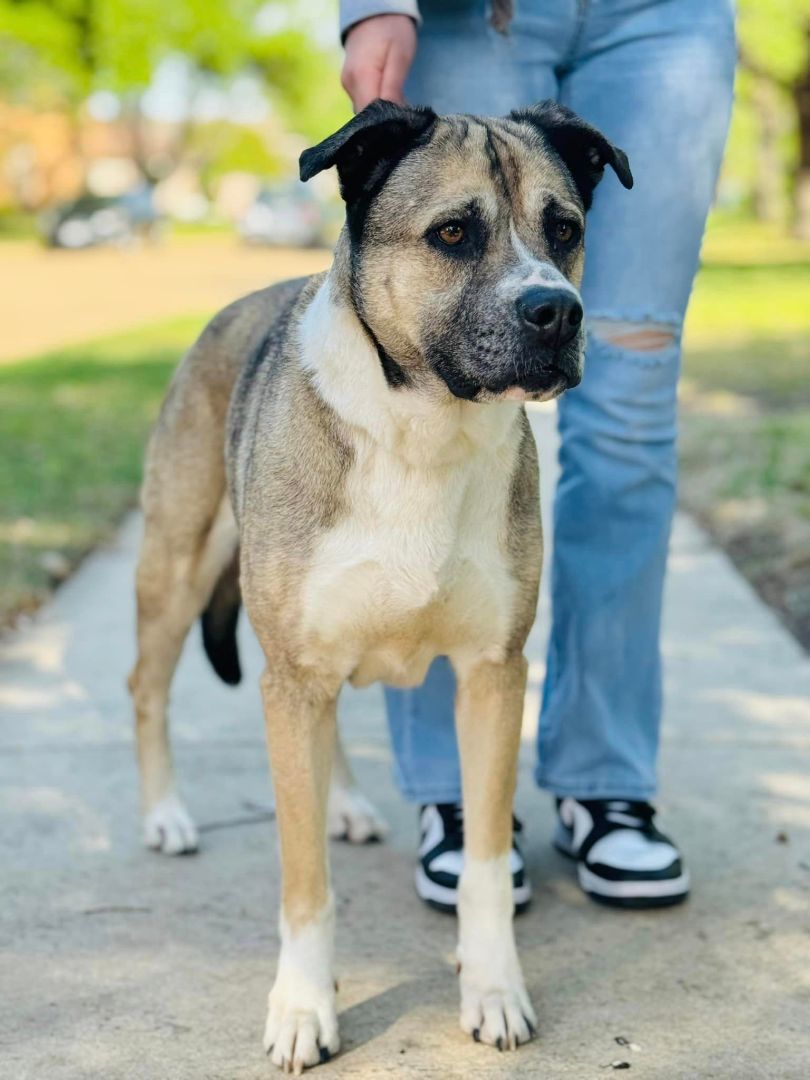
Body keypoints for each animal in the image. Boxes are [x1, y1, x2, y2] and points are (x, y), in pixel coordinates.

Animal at [128, 99, 635, 1071]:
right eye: (452, 233)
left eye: (564, 229)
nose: (557, 311)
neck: (426, 427)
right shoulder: (294, 674)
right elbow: (304, 884)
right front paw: (302, 1007)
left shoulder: (493, 675)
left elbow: (483, 866)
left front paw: (493, 990)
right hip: (176, 573)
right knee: (148, 687)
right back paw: (165, 815)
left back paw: (348, 802)